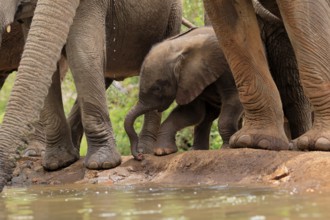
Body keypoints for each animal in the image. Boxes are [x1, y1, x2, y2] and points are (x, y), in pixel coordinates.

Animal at [125, 26, 244, 157]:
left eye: (157, 88)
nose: (140, 155)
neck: (182, 45)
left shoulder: (228, 69)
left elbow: (234, 99)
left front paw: (227, 149)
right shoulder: (190, 81)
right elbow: (192, 112)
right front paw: (163, 151)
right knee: (207, 115)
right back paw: (197, 150)